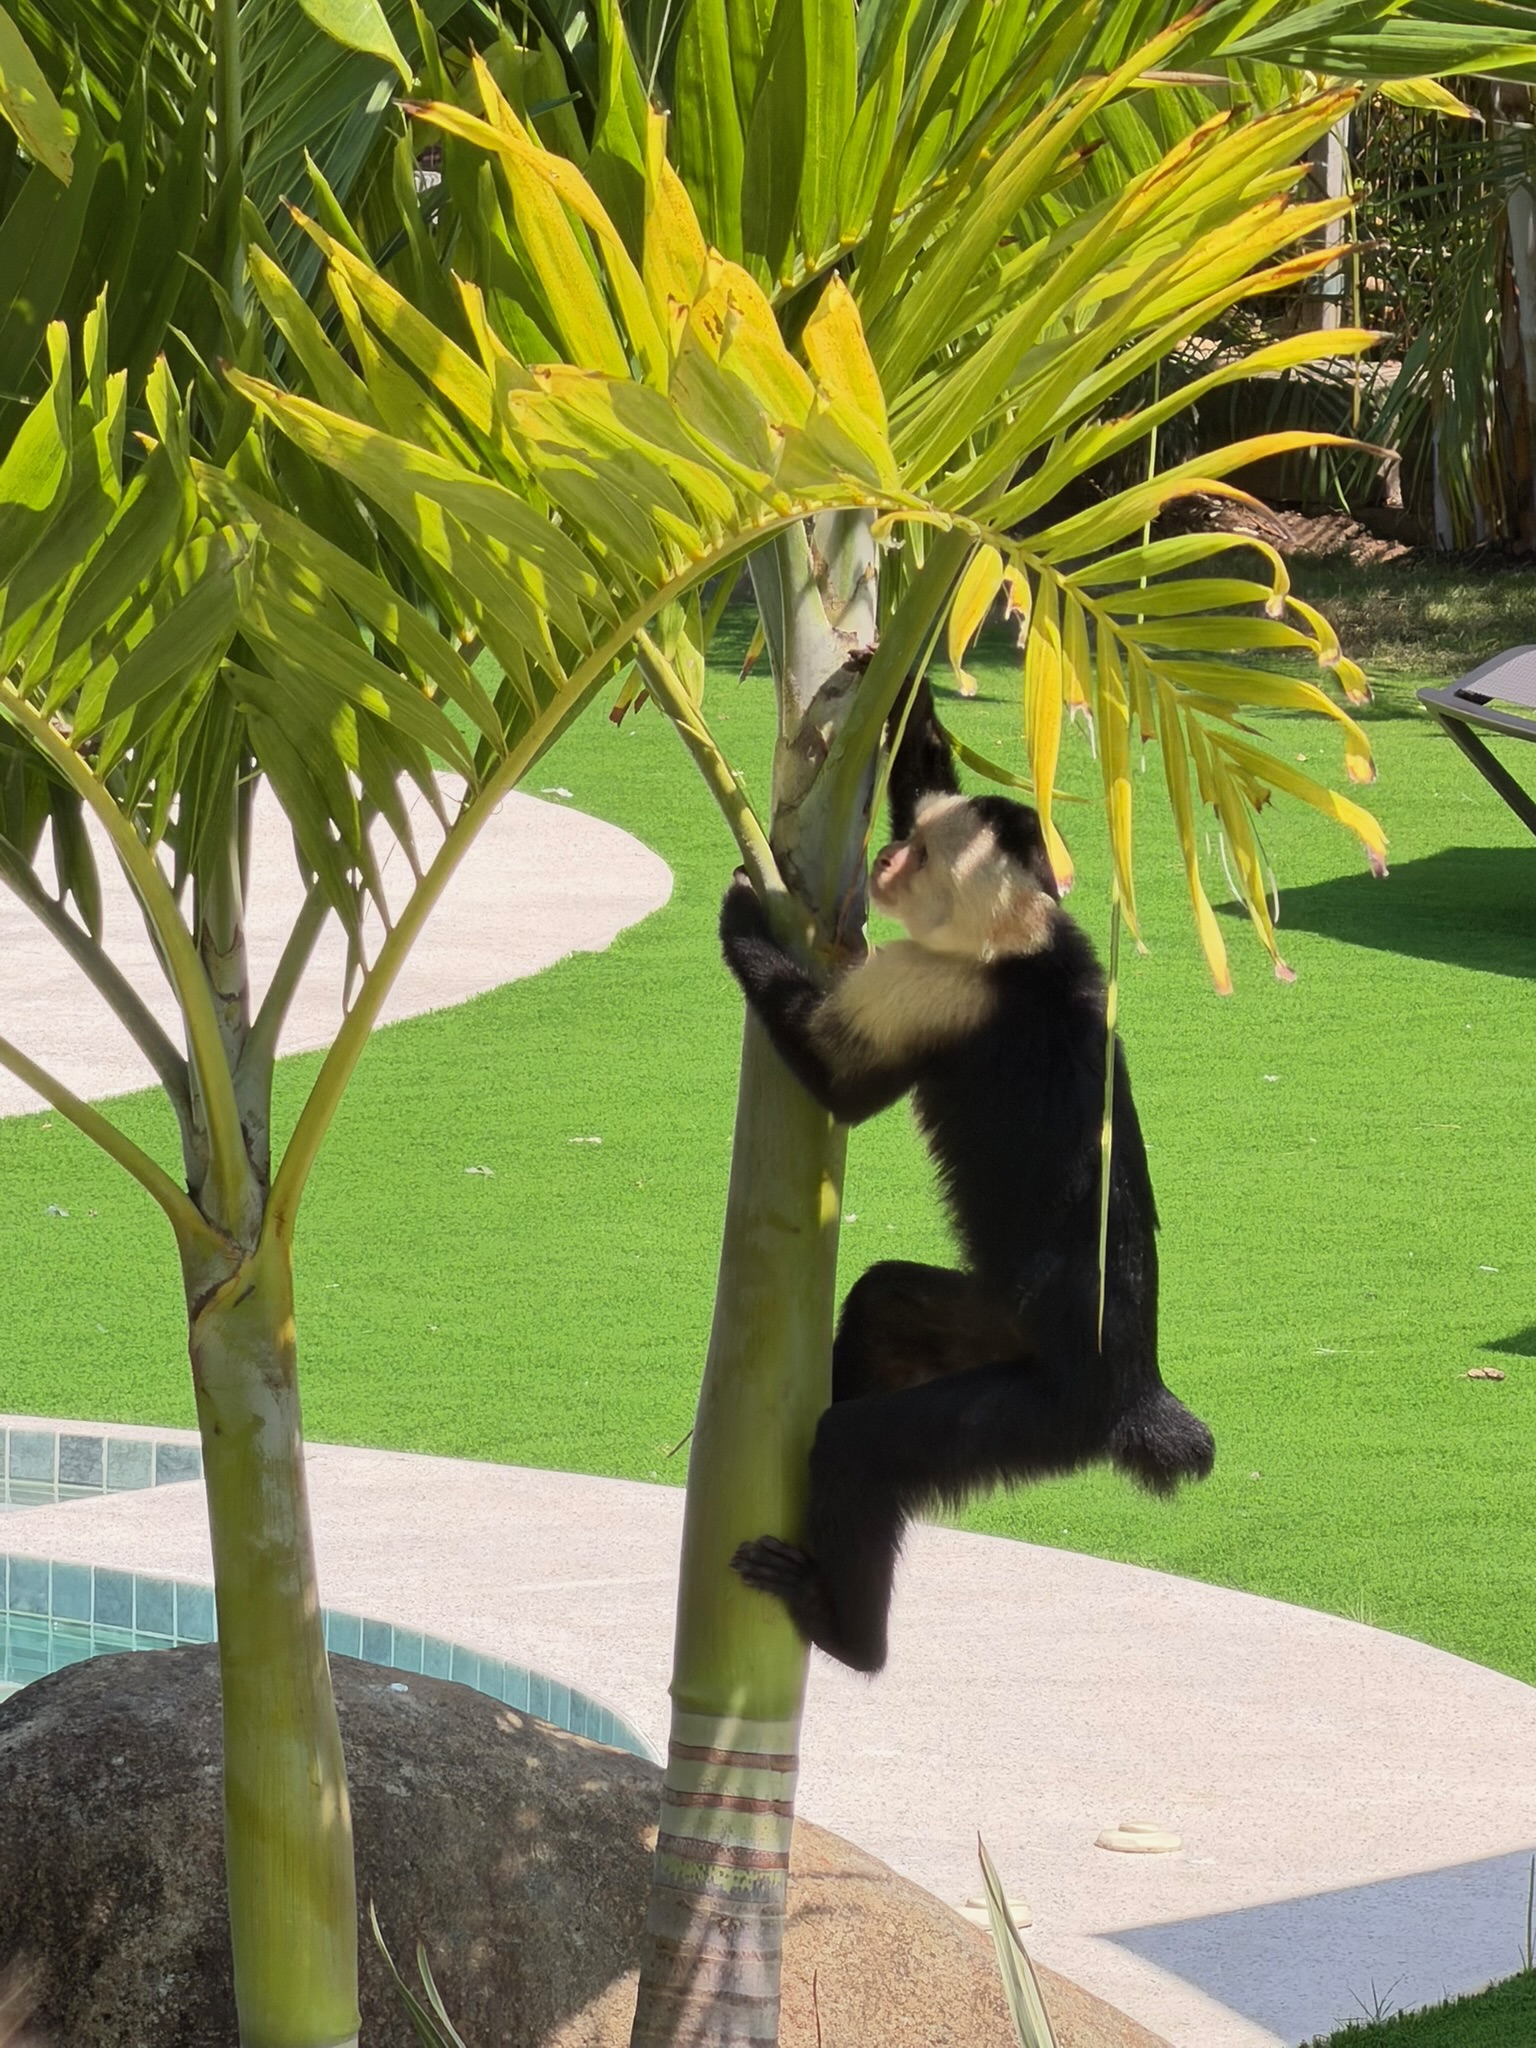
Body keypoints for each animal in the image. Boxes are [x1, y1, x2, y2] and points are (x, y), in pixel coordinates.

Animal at [718, 678, 1214, 1674]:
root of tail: (1136, 1391)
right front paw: (897, 680)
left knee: (865, 1452)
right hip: (995, 1332)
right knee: (884, 1304)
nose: (881, 857)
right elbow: (920, 766)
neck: (1022, 948)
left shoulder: (934, 983)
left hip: (1044, 1415)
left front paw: (748, 923)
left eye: (914, 855)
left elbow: (840, 1081)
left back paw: (845, 1632)